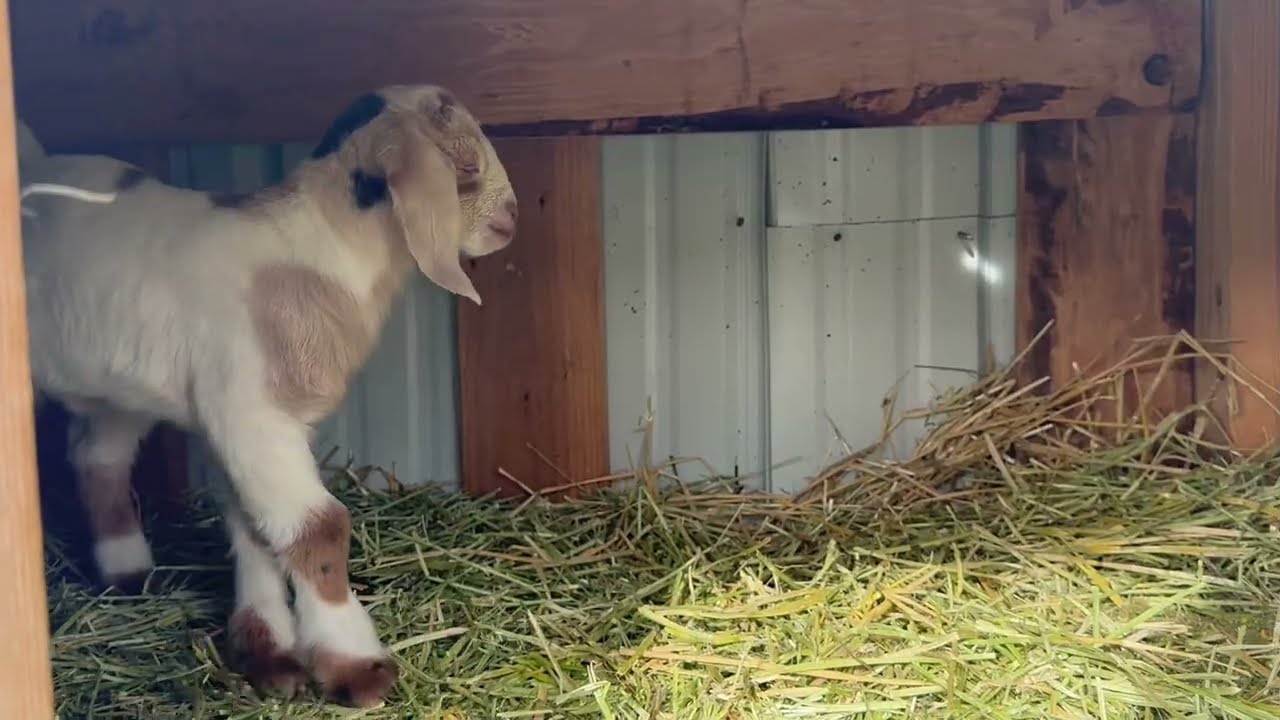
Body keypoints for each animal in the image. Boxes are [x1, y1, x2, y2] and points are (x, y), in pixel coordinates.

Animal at [18, 84, 518, 708]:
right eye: (465, 168)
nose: (512, 218)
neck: (325, 255)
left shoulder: (248, 425)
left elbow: (254, 528)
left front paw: (267, 653)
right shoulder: (252, 416)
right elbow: (317, 528)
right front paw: (357, 668)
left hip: (116, 387)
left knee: (97, 458)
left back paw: (127, 572)